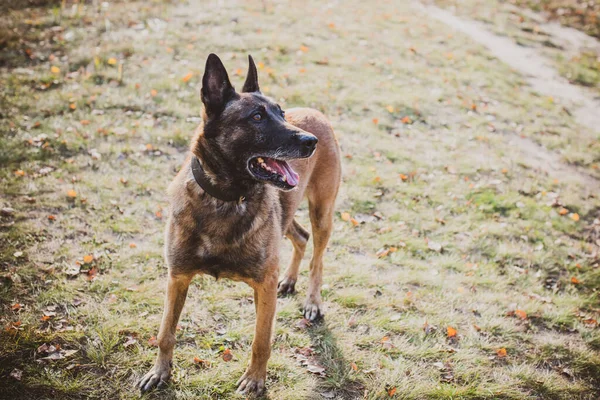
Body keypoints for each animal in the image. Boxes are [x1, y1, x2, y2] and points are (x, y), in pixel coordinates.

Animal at [138, 54, 340, 396]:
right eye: (257, 116)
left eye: (281, 113)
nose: (309, 141)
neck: (227, 198)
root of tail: (315, 113)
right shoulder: (177, 277)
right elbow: (166, 332)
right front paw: (159, 372)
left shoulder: (263, 285)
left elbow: (262, 340)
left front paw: (255, 380)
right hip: (286, 217)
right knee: (300, 237)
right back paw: (290, 280)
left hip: (322, 211)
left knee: (318, 258)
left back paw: (312, 302)